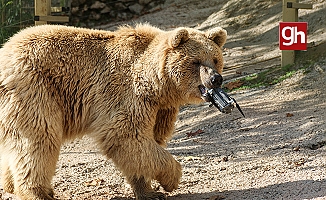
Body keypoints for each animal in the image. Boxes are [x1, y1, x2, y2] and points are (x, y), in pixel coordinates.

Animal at [0, 24, 228, 199]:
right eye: (196, 61)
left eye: (215, 59)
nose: (215, 78)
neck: (158, 85)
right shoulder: (127, 95)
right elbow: (127, 136)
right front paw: (171, 179)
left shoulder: (160, 109)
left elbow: (144, 146)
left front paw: (148, 191)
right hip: (34, 89)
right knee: (38, 140)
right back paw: (36, 192)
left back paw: (11, 185)